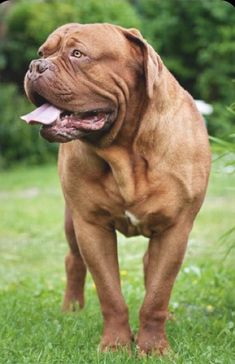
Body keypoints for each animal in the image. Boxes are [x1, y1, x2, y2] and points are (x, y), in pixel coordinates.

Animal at [21, 23, 210, 356]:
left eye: (78, 54)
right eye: (43, 52)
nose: (35, 66)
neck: (126, 152)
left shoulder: (175, 229)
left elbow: (157, 294)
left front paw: (153, 348)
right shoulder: (91, 227)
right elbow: (110, 294)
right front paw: (116, 345)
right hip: (72, 221)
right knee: (73, 260)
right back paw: (71, 310)